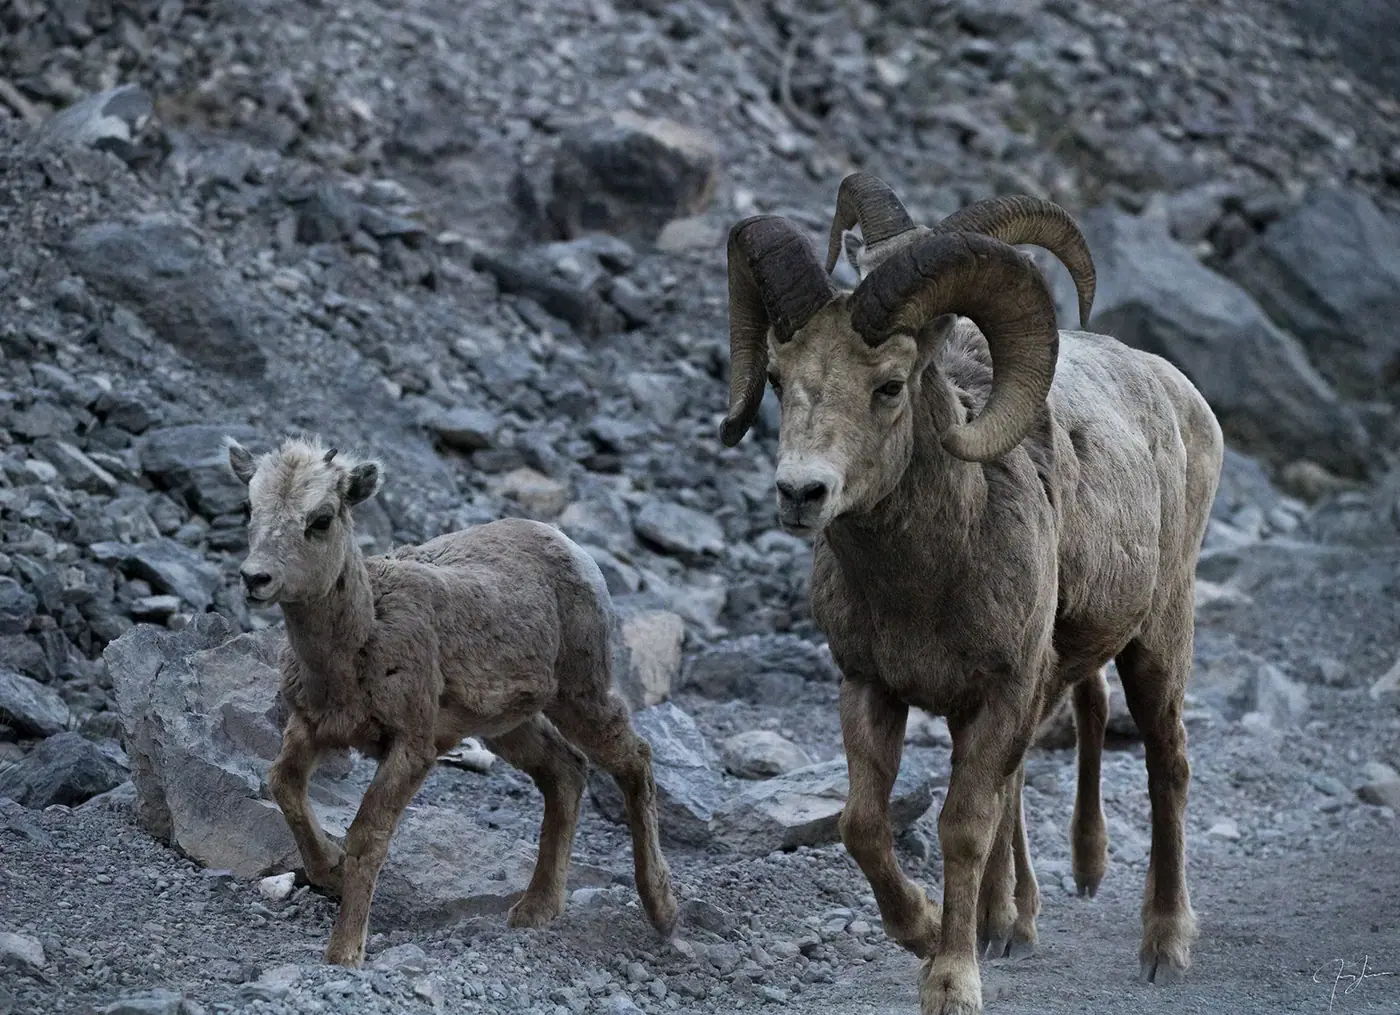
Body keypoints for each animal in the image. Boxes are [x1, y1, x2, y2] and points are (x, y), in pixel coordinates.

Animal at [225, 435, 678, 967]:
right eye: (248, 507)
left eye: (321, 519)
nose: (255, 578)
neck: (356, 645)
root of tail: (570, 546)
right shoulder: (309, 726)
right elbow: (284, 787)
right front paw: (330, 871)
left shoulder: (412, 744)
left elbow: (368, 834)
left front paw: (345, 952)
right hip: (508, 724)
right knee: (566, 772)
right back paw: (535, 910)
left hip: (579, 693)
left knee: (634, 758)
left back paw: (663, 911)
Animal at [717, 173, 1224, 1015]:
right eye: (782, 381)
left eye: (889, 385)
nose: (801, 493)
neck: (924, 584)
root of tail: (1182, 397)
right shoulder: (873, 688)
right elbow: (863, 823)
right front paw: (926, 929)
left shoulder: (1002, 691)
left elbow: (963, 826)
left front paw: (951, 979)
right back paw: (1008, 922)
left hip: (1158, 636)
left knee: (1167, 763)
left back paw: (1164, 943)